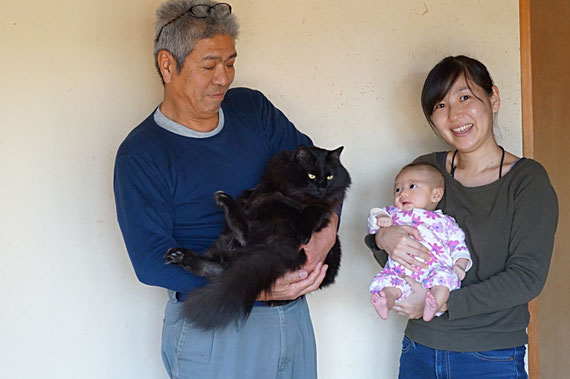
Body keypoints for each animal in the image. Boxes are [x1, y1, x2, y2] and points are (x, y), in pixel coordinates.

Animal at [164, 145, 348, 330]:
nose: (322, 187)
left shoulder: (322, 209)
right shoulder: (266, 192)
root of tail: (274, 249)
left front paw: (303, 233)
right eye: (311, 175)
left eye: (330, 176)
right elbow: (272, 199)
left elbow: (312, 211)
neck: (298, 196)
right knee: (237, 244)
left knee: (225, 260)